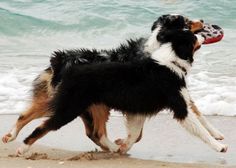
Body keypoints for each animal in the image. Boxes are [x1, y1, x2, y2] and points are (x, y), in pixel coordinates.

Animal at [2, 14, 224, 155]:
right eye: (186, 22)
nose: (203, 21)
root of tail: (62, 59)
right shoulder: (166, 101)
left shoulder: (150, 103)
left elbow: (198, 114)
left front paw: (218, 134)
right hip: (77, 105)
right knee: (85, 130)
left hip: (76, 102)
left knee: (30, 115)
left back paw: (10, 136)